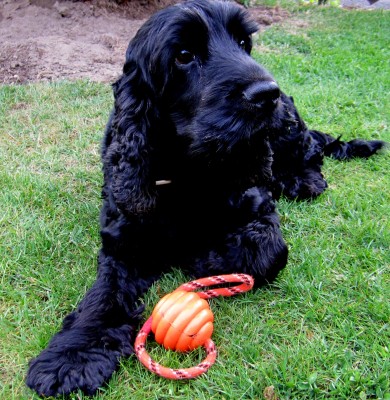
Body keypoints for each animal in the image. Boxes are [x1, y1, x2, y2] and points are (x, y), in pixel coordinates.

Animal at [26, 0, 384, 396]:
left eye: (244, 43)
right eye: (184, 55)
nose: (267, 93)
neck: (190, 172)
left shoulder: (259, 210)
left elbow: (264, 253)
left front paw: (202, 255)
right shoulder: (123, 242)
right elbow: (104, 295)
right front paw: (73, 355)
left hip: (288, 125)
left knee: (310, 150)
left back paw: (302, 179)